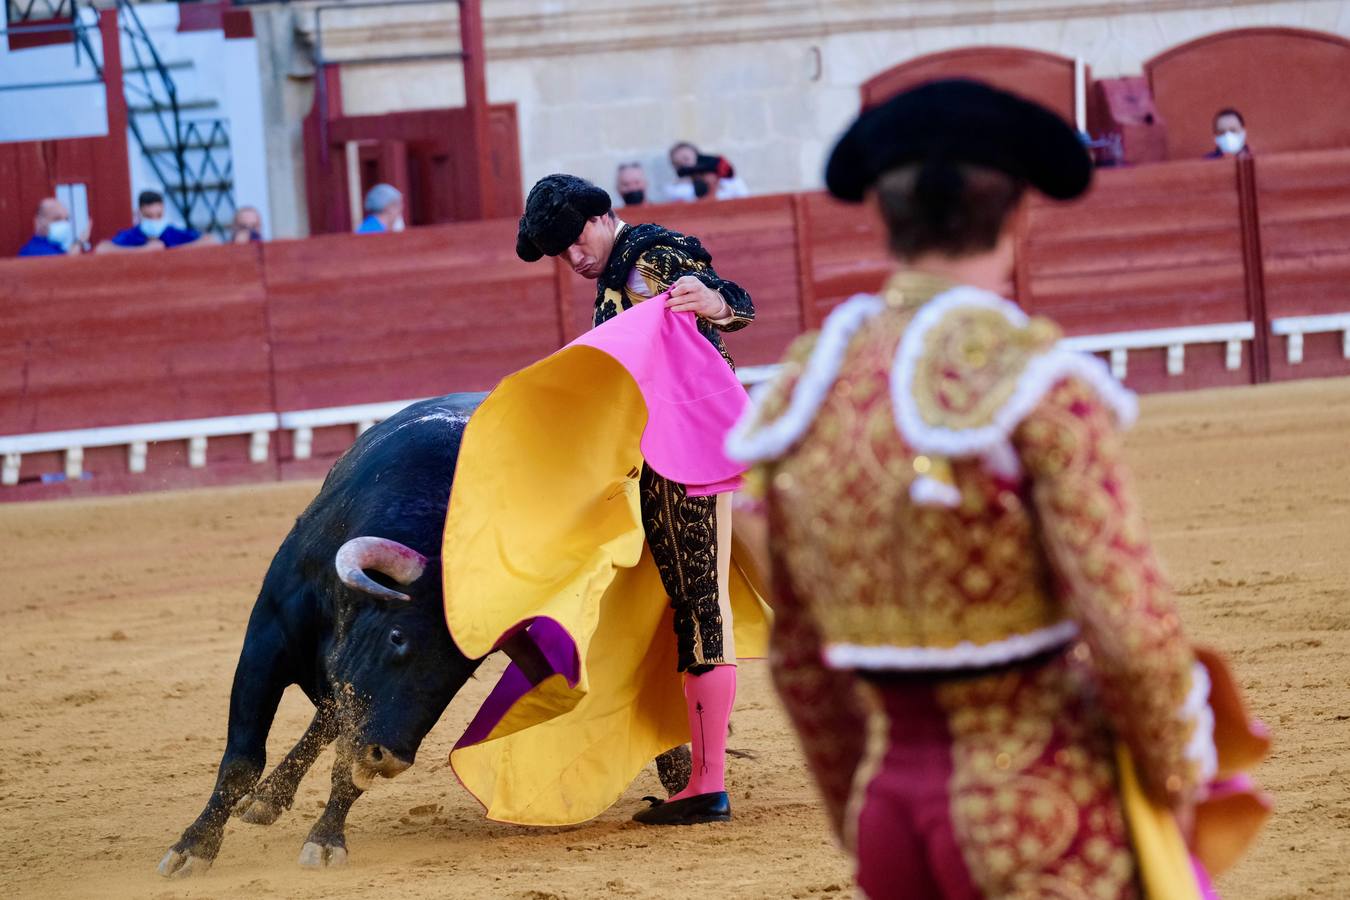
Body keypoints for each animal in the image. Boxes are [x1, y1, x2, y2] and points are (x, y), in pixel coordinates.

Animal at [155, 391, 696, 874]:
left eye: (463, 671)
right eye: (397, 637)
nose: (392, 759)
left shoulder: (379, 712)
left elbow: (350, 762)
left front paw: (326, 840)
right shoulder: (265, 640)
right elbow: (242, 759)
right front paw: (192, 848)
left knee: (334, 719)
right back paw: (265, 800)